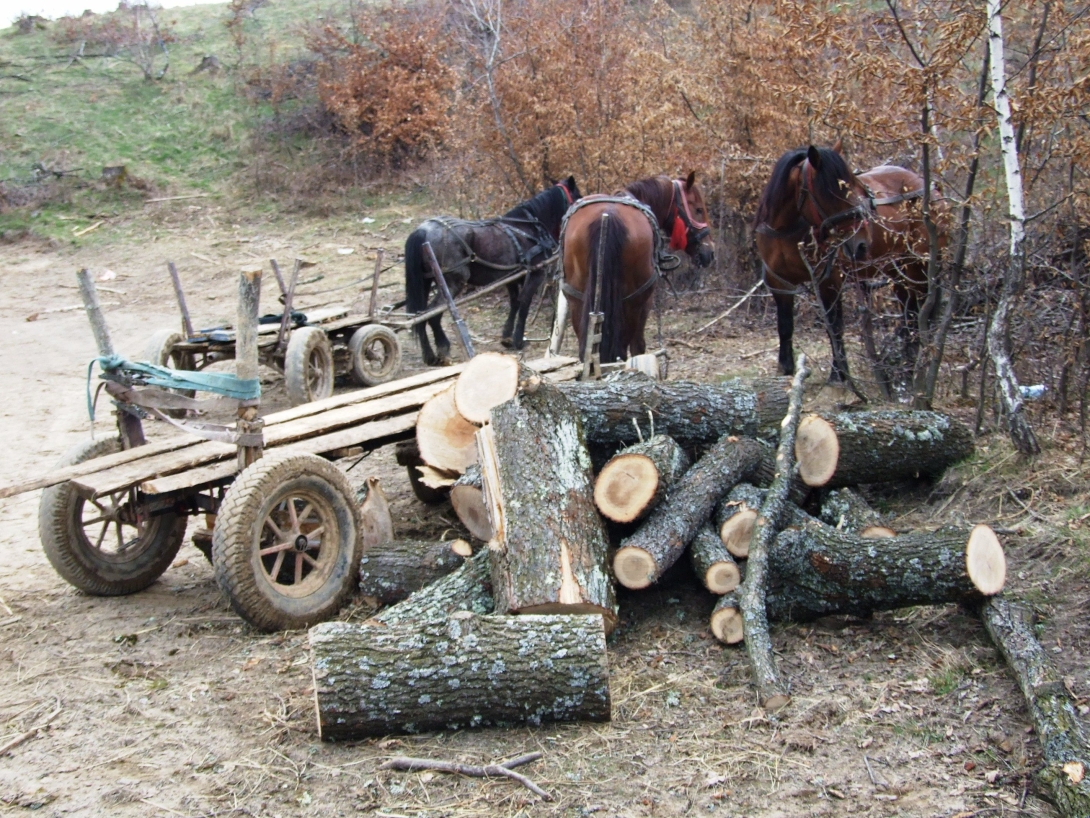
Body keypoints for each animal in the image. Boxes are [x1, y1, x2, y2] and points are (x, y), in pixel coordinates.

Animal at [405, 177, 584, 366]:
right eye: (577, 197)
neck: (528, 228)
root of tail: (423, 231)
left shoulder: (512, 277)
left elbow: (515, 303)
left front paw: (506, 337)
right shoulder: (536, 274)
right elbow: (525, 303)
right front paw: (518, 340)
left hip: (425, 282)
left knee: (419, 315)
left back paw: (429, 355)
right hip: (451, 284)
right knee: (432, 314)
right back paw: (443, 349)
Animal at [562, 173, 715, 362]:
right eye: (699, 210)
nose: (710, 251)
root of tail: (608, 215)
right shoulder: (644, 304)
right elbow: (638, 346)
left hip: (577, 300)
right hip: (635, 302)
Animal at [758, 142, 946, 388]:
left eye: (856, 187)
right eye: (830, 194)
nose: (861, 244)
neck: (786, 229)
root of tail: (930, 189)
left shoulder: (829, 282)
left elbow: (835, 327)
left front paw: (839, 374)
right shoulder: (779, 283)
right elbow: (785, 325)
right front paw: (786, 368)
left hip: (919, 269)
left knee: (920, 315)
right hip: (899, 273)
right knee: (911, 314)